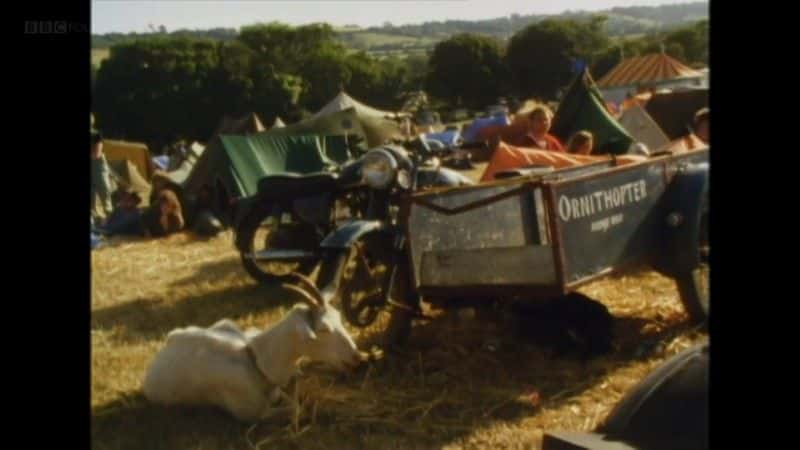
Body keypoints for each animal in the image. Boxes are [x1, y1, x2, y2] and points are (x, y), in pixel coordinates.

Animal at [143, 274, 362, 422]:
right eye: (324, 328)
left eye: (339, 317)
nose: (357, 357)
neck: (256, 359)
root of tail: (169, 340)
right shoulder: (253, 414)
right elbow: (295, 409)